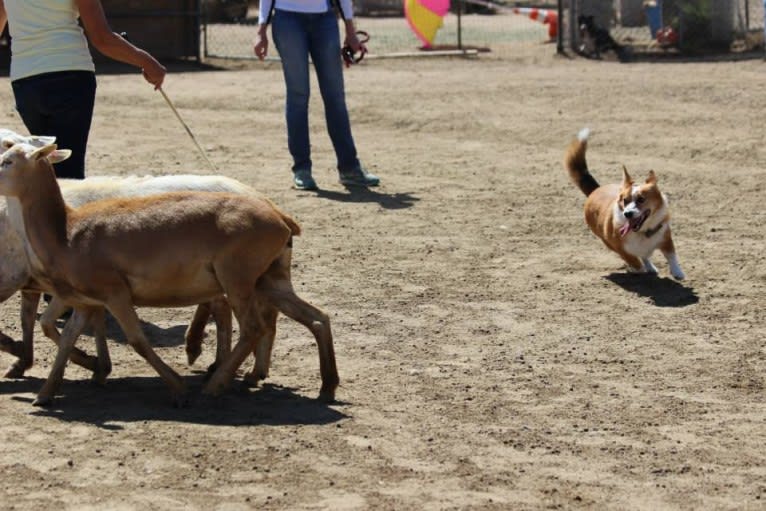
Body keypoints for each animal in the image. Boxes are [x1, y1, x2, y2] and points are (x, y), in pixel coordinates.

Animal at [568, 128, 688, 280]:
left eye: (641, 199)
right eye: (625, 200)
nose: (627, 214)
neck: (643, 232)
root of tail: (595, 190)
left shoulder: (666, 238)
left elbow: (672, 255)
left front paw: (678, 272)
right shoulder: (620, 248)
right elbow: (634, 260)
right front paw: (638, 269)